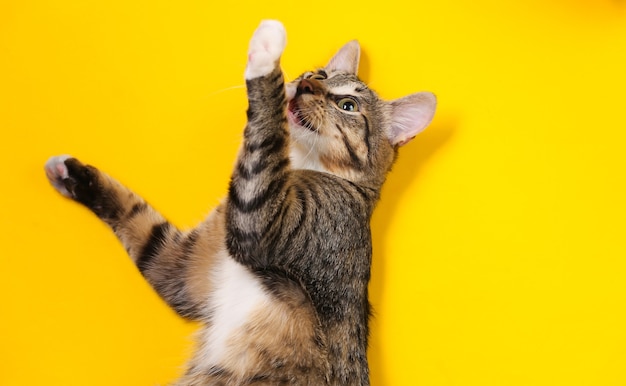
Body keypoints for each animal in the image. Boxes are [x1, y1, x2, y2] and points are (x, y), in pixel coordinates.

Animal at [44, 21, 434, 386]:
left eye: (348, 105)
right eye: (319, 75)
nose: (306, 85)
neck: (301, 163)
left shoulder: (266, 225)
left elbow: (266, 134)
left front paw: (266, 54)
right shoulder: (182, 268)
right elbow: (140, 222)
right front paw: (73, 175)